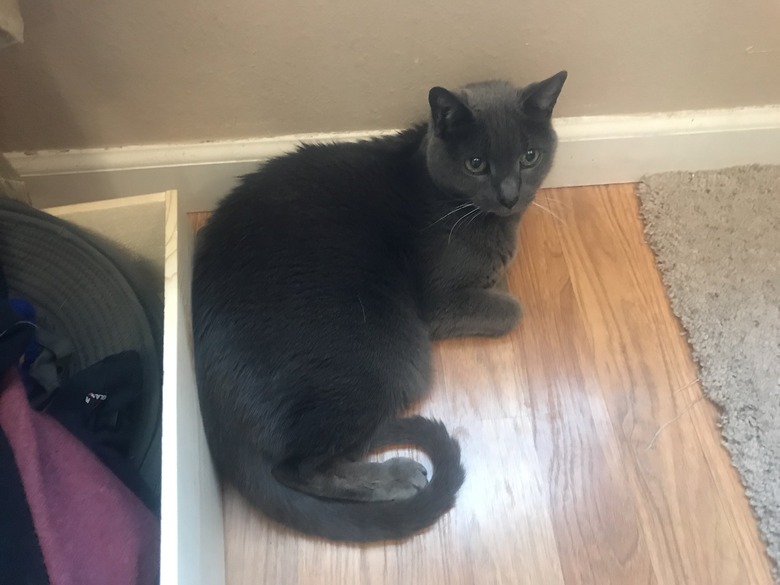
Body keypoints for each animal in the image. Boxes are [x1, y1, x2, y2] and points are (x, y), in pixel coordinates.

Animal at [190, 70, 568, 540]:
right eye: (476, 164)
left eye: (529, 157)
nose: (510, 195)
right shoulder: (443, 303)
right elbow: (513, 309)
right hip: (386, 357)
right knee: (296, 467)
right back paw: (398, 475)